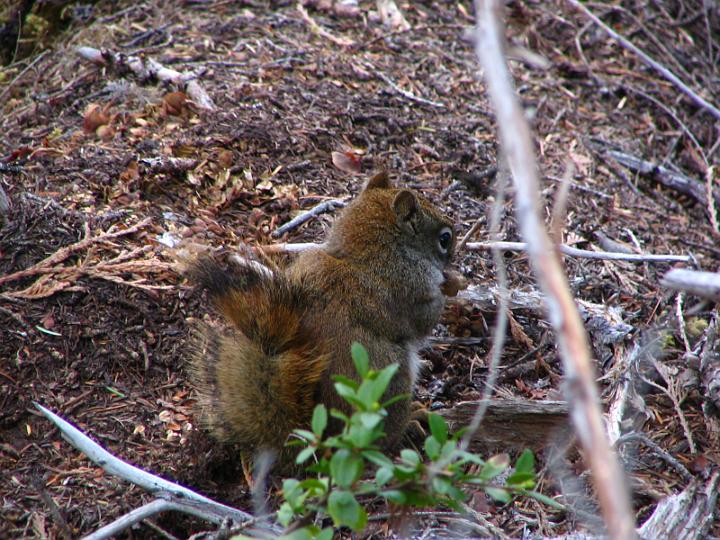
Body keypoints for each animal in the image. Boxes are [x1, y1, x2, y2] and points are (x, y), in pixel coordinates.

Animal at [186, 173, 456, 468]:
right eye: (444, 239)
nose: (454, 254)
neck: (362, 252)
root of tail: (320, 434)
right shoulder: (411, 286)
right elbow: (425, 319)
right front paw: (449, 287)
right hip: (389, 382)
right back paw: (412, 421)